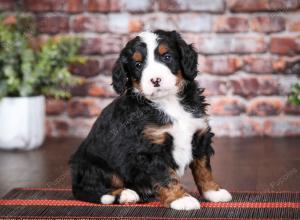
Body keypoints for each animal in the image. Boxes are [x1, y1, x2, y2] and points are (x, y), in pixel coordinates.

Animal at [70, 30, 232, 211]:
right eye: (138, 65)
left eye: (167, 57)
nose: (155, 80)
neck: (169, 102)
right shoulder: (150, 149)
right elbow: (166, 175)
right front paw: (180, 199)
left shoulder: (200, 134)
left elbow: (203, 168)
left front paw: (213, 191)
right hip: (97, 166)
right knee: (93, 188)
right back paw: (125, 194)